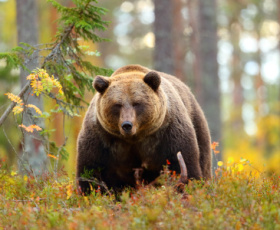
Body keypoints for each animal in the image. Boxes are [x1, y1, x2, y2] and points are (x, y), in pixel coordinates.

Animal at [75, 64, 211, 194]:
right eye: (117, 105)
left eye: (137, 103)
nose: (127, 125)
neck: (134, 137)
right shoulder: (101, 138)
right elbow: (90, 171)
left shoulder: (168, 133)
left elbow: (183, 164)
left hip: (197, 124)